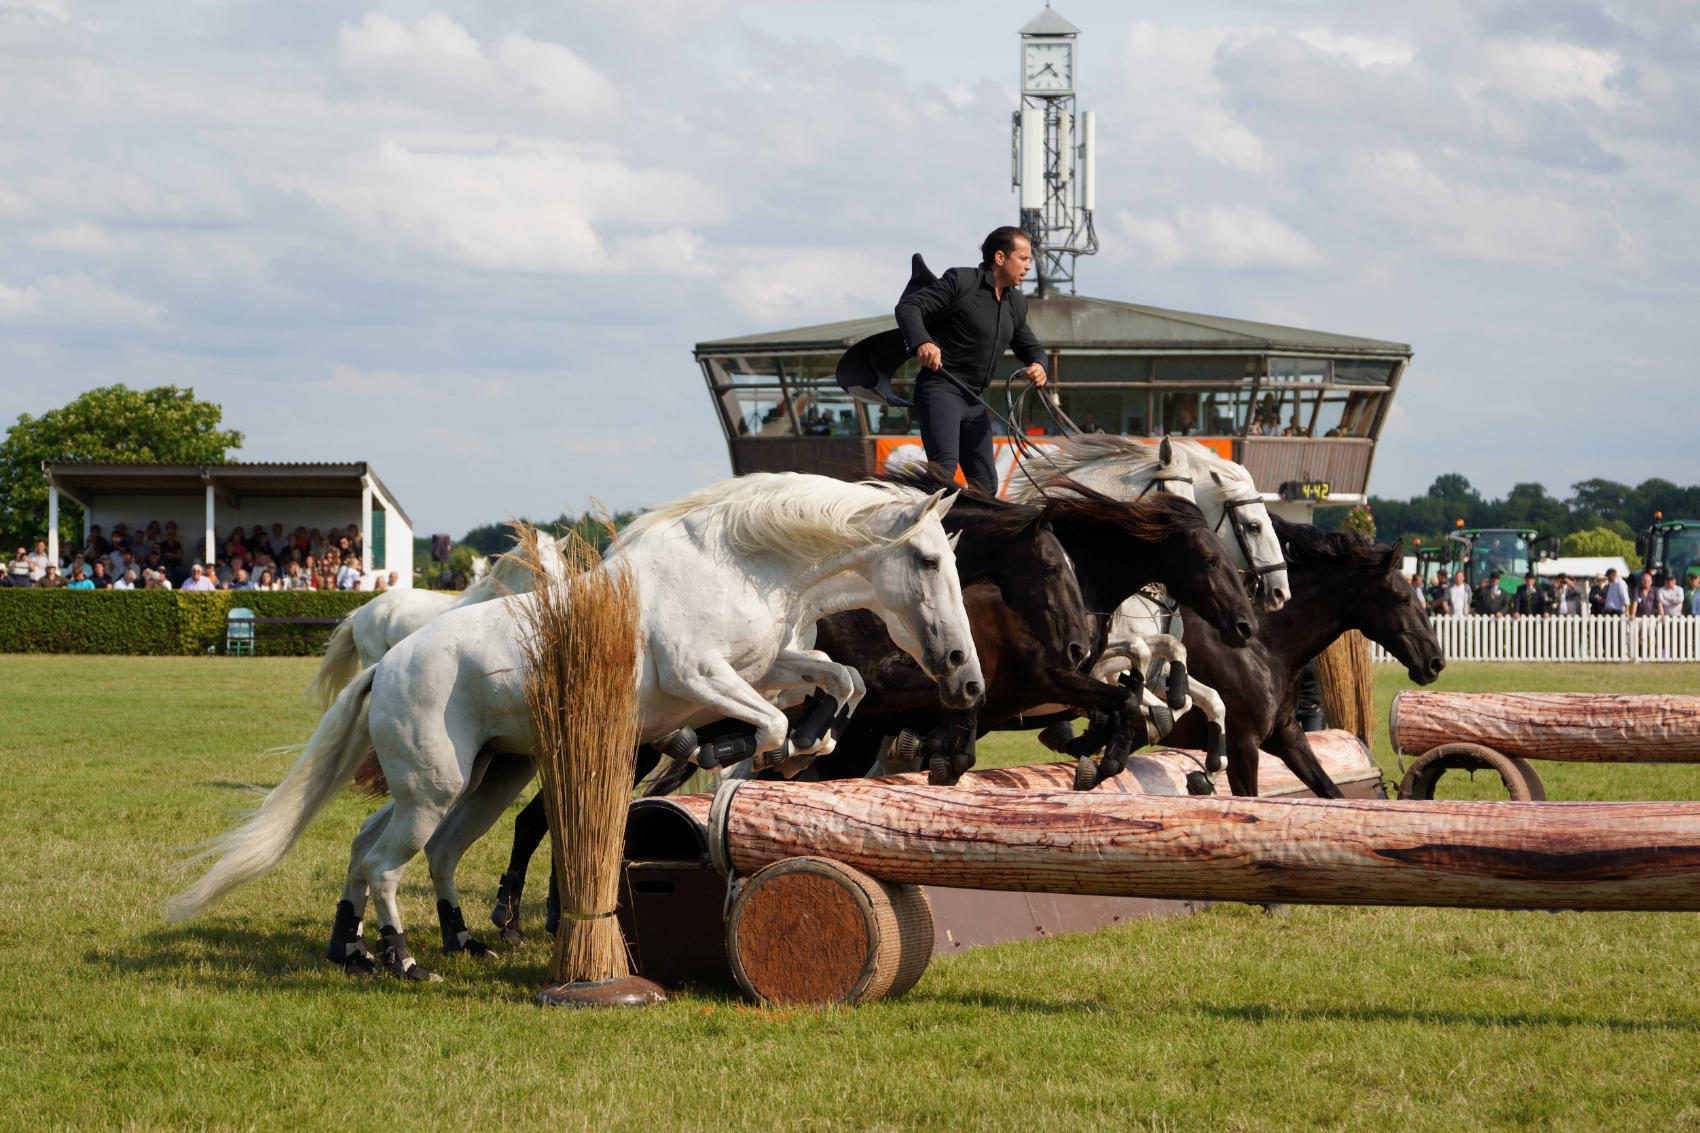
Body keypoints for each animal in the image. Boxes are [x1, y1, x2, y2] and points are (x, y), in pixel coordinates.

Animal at [1156, 513, 1448, 792]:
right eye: (1403, 599)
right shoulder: (1242, 746)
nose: (1435, 662)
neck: (1265, 646)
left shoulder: (1286, 735)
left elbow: (1329, 789)